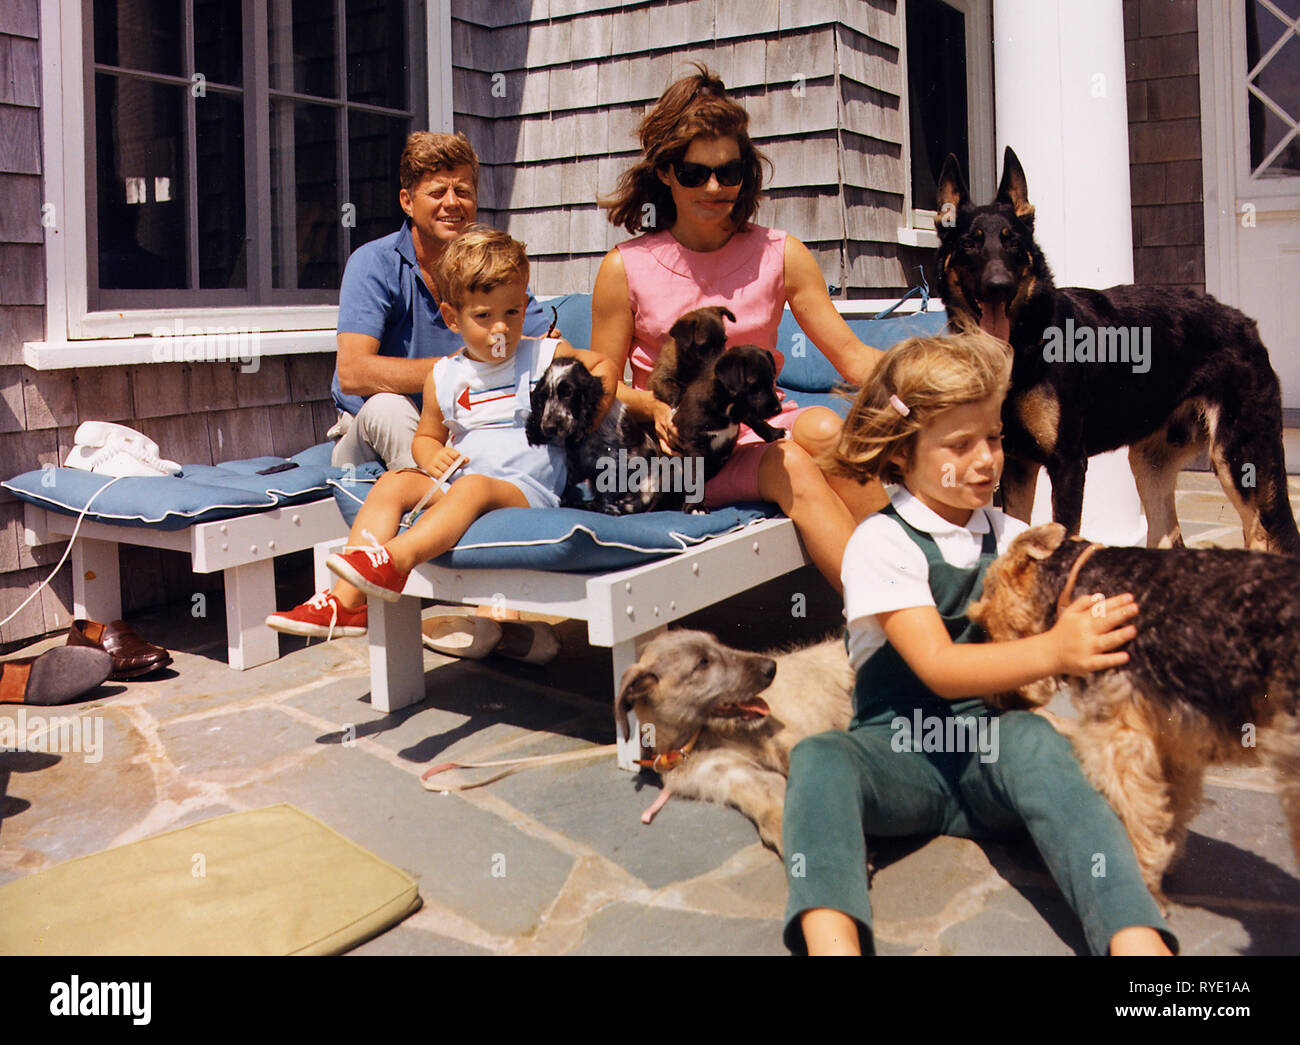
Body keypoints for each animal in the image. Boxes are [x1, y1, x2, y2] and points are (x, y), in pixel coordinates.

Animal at [616, 629, 852, 847]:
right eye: (702, 663)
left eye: (719, 642)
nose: (772, 667)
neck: (702, 738)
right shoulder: (738, 775)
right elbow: (772, 808)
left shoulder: (787, 739)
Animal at [967, 522, 1300, 904]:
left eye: (983, 622)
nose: (1001, 699)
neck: (1077, 586)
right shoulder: (1171, 740)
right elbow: (1165, 810)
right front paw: (1163, 864)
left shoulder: (1119, 736)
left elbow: (1134, 814)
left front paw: (1144, 882)